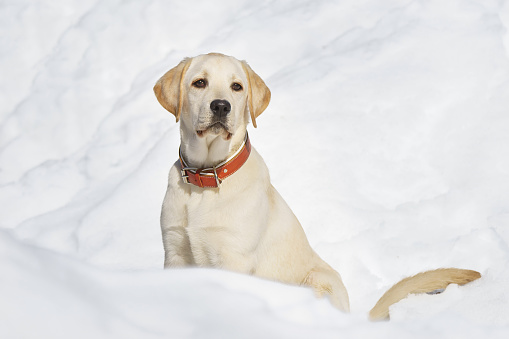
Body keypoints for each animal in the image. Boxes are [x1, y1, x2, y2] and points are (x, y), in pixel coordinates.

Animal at [153, 53, 478, 322]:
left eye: (236, 87)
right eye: (199, 83)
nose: (221, 106)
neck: (206, 178)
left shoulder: (233, 259)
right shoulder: (175, 253)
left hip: (319, 281)